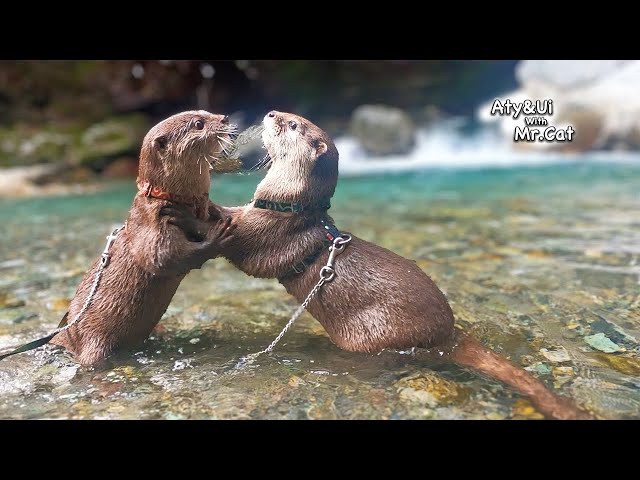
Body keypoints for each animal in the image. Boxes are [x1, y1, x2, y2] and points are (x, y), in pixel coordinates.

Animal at [1, 111, 236, 366]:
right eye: (199, 124)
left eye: (206, 113)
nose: (224, 118)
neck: (167, 199)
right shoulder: (152, 226)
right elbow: (162, 258)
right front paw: (218, 236)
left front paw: (222, 214)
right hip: (94, 339)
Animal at [164, 111, 594, 420]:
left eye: (292, 123)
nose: (270, 112)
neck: (285, 205)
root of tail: (447, 333)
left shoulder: (262, 235)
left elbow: (235, 239)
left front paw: (187, 209)